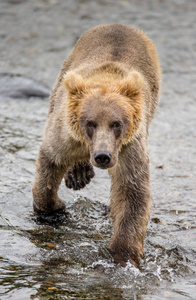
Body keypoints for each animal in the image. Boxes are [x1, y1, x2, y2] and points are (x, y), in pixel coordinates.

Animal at [32, 23, 161, 268]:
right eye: (90, 122)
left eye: (117, 123)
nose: (103, 156)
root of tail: (120, 25)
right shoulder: (66, 133)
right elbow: (50, 161)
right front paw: (55, 208)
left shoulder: (128, 148)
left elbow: (133, 191)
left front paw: (123, 254)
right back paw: (78, 175)